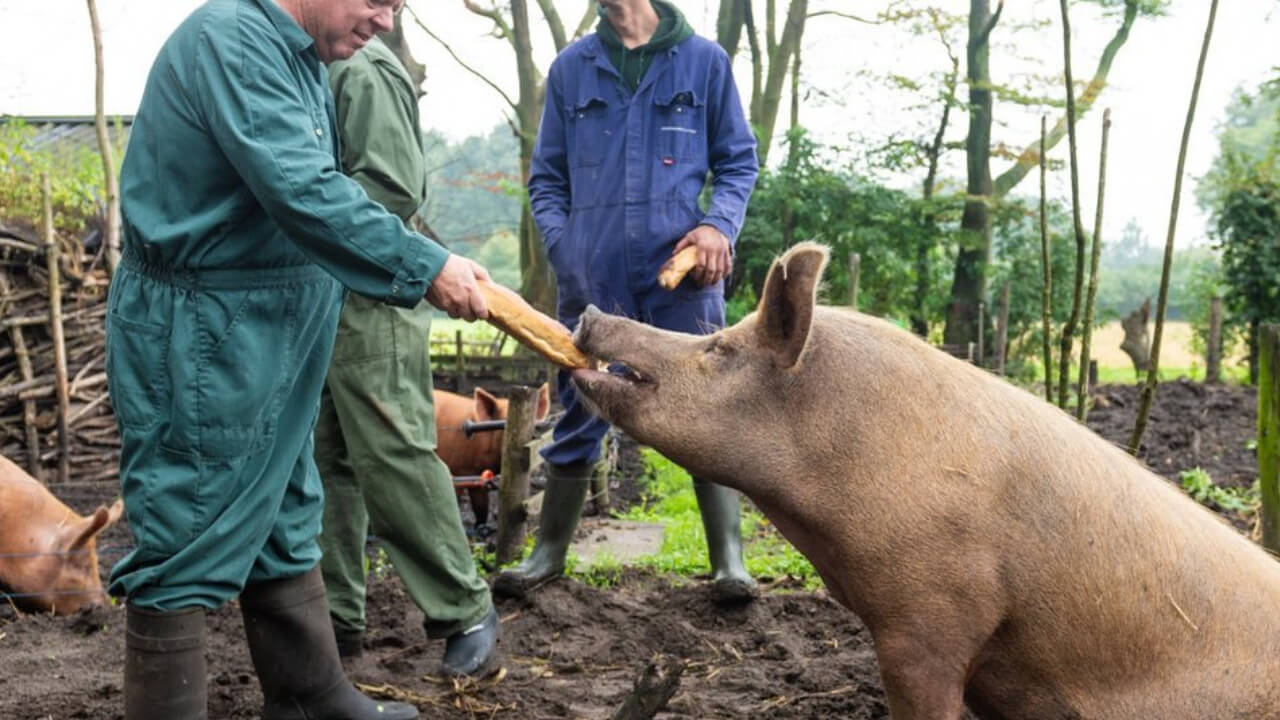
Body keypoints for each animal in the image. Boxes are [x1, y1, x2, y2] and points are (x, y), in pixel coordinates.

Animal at [435, 384, 550, 530]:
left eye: (535, 424)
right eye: (503, 426)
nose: (535, 435)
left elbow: (483, 507)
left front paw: (483, 528)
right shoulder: (464, 471)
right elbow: (478, 506)